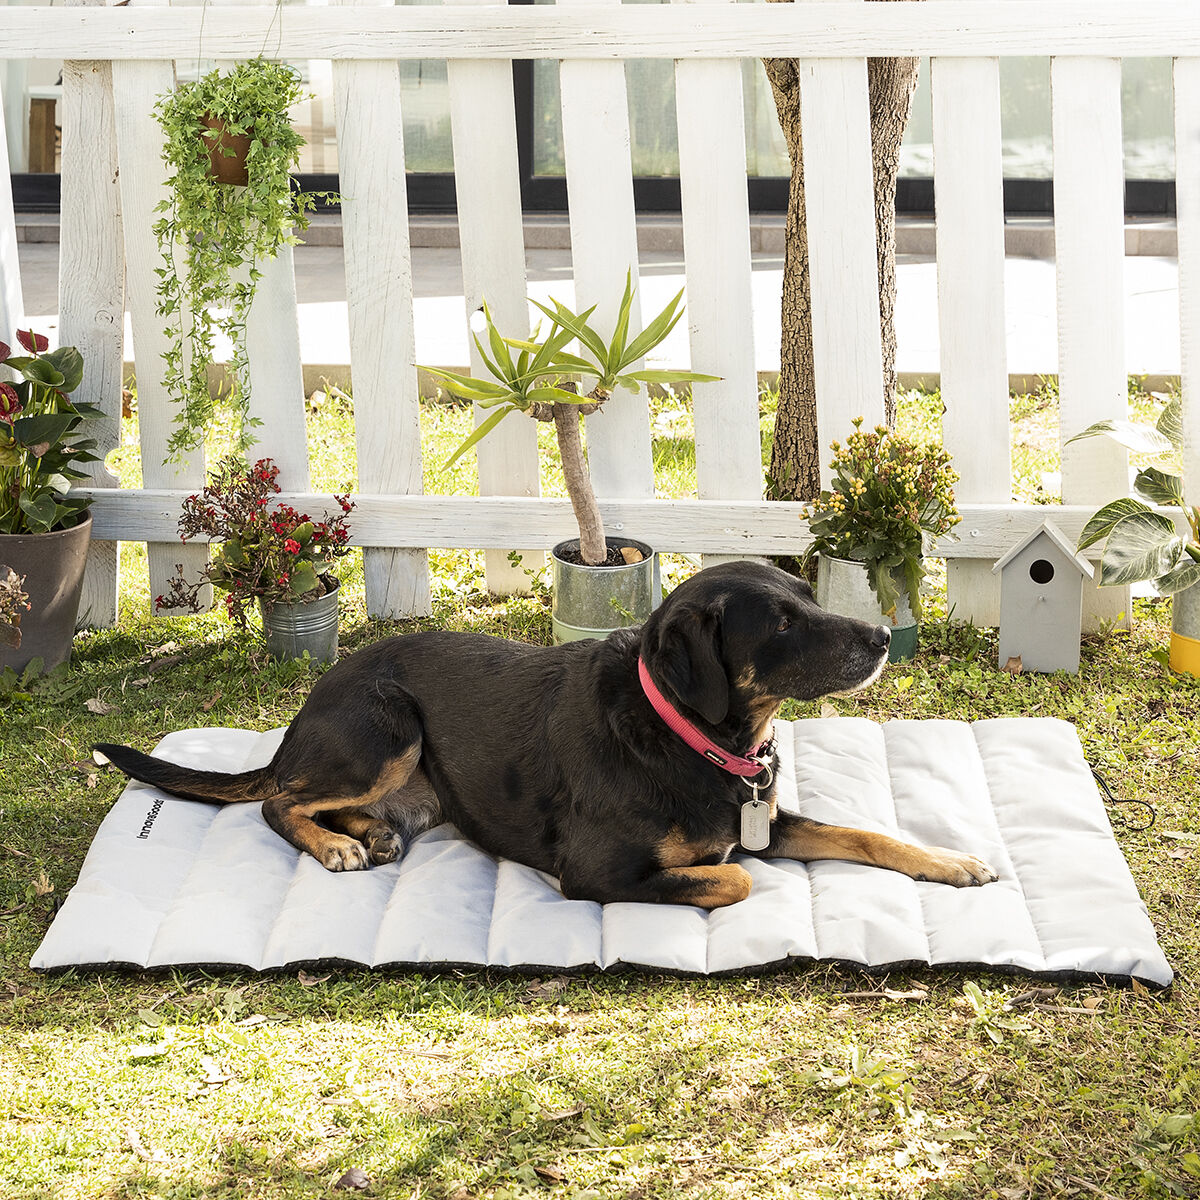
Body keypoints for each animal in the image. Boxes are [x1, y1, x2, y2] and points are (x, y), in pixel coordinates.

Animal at [93, 564, 998, 907]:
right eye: (779, 623)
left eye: (808, 595)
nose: (880, 638)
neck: (683, 735)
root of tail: (300, 718)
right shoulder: (598, 875)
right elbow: (734, 878)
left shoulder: (766, 820)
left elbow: (868, 833)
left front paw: (953, 862)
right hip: (386, 724)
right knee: (276, 801)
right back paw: (338, 844)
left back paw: (370, 835)